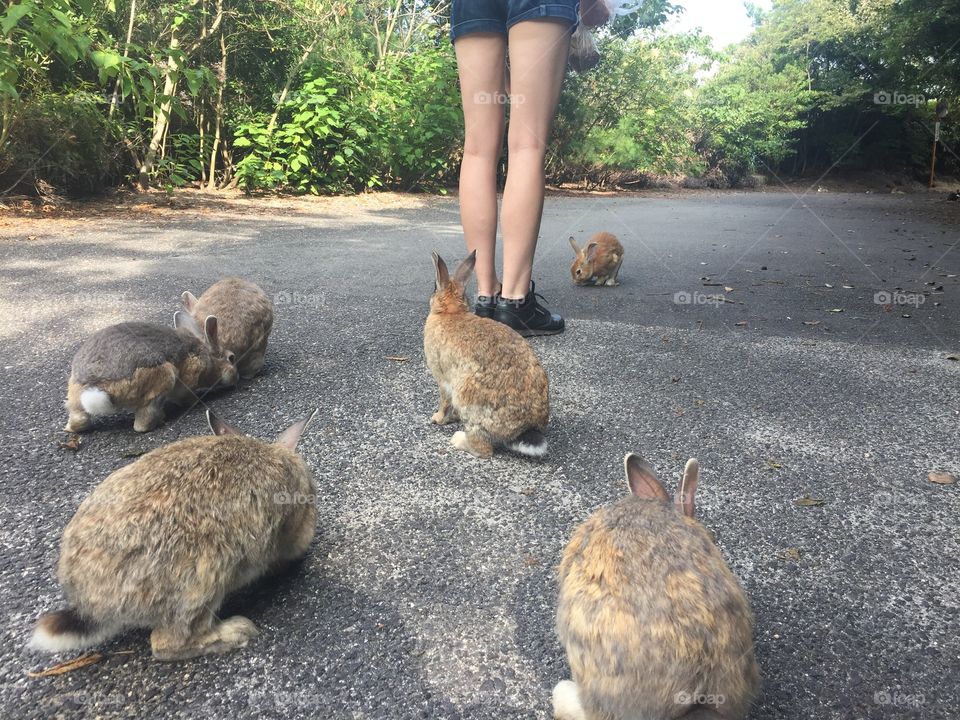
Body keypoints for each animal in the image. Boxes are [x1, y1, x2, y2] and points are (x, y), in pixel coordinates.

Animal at [64, 313, 239, 433]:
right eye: (231, 358)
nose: (236, 378)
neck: (206, 356)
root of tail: (95, 385)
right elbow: (185, 396)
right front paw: (194, 401)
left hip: (74, 397)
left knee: (78, 419)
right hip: (165, 378)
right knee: (141, 425)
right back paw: (160, 420)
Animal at [423, 251, 549, 459]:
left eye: (434, 288)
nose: (431, 297)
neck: (451, 312)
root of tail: (524, 428)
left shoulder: (442, 378)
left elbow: (444, 400)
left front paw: (437, 418)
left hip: (468, 398)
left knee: (484, 449)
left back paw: (458, 439)